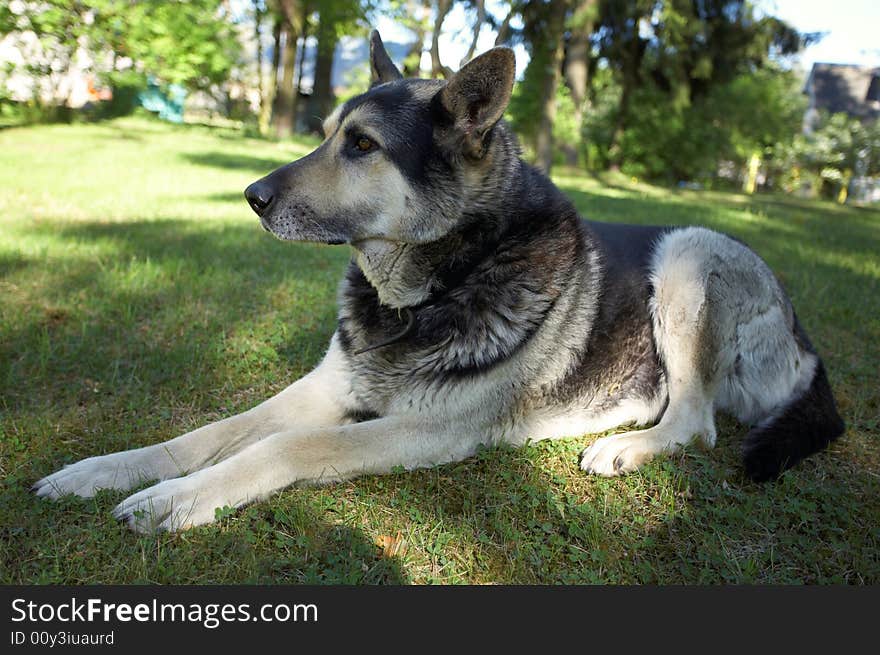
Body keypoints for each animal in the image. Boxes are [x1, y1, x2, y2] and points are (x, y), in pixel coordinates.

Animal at [34, 32, 844, 532]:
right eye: (325, 134)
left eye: (362, 146)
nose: (252, 196)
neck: (431, 286)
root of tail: (803, 334)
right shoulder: (328, 386)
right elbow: (209, 432)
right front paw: (101, 472)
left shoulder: (425, 428)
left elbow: (284, 448)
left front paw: (178, 500)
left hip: (686, 252)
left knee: (697, 421)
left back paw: (628, 448)